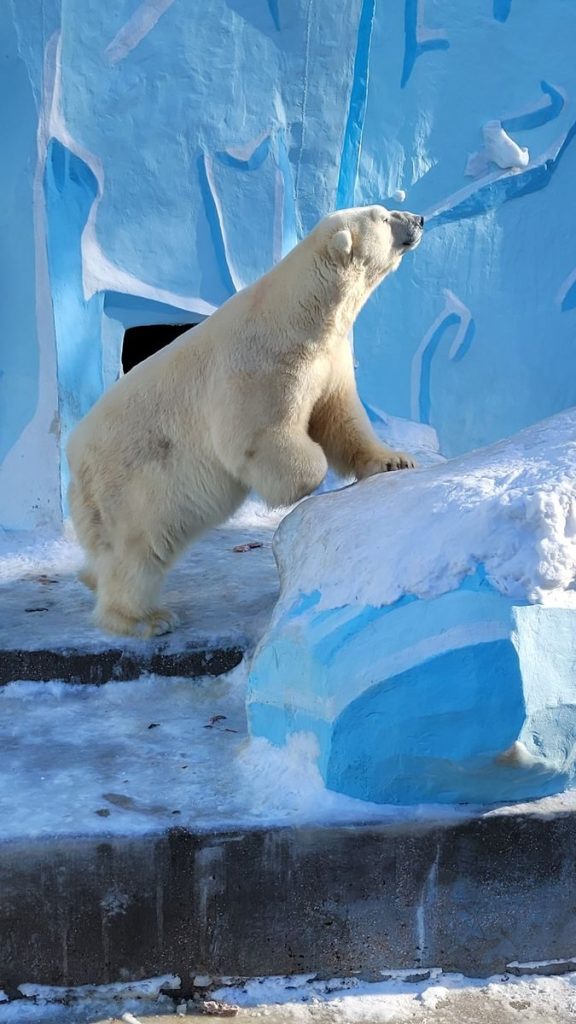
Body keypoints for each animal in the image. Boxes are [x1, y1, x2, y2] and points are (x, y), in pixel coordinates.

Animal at [67, 204, 424, 637]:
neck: (303, 313)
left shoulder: (329, 361)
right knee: (137, 548)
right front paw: (300, 484)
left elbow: (341, 418)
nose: (419, 219)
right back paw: (145, 618)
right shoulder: (262, 365)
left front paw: (395, 460)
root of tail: (75, 454)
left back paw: (92, 579)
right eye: (384, 217)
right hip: (132, 480)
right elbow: (257, 435)